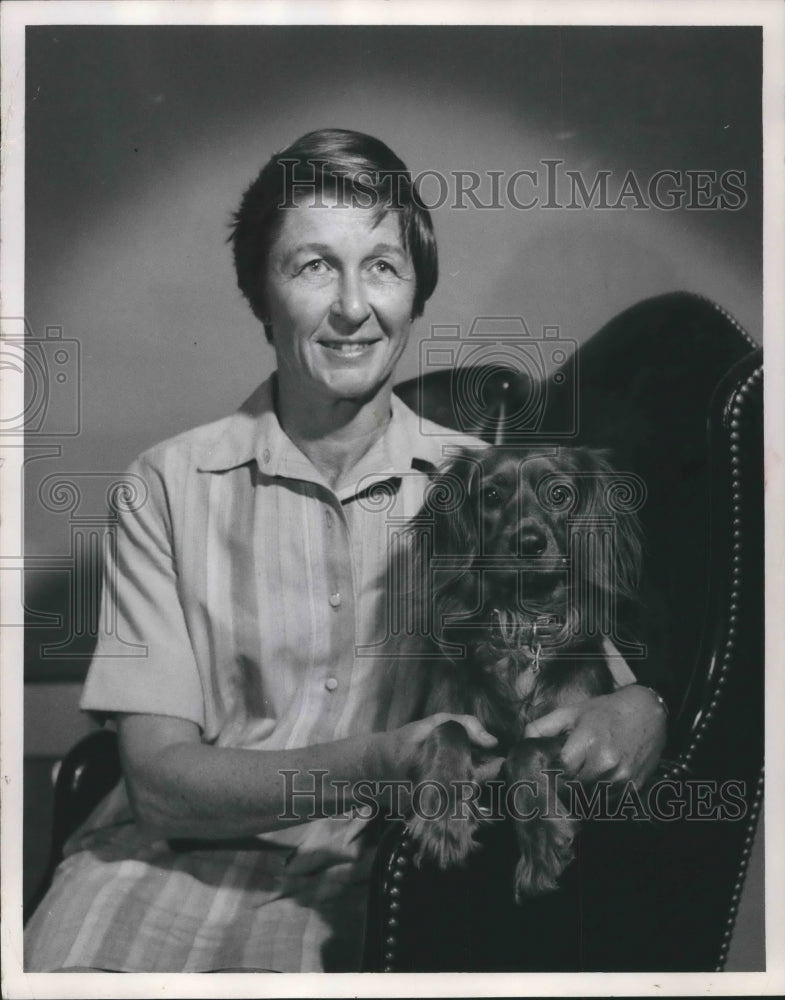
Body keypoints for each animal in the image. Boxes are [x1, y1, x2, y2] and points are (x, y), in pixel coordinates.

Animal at [402, 446, 640, 900]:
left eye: (559, 494)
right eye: (491, 495)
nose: (528, 542)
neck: (521, 627)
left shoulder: (575, 729)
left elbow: (525, 749)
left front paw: (542, 839)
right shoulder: (454, 720)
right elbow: (449, 729)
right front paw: (444, 819)